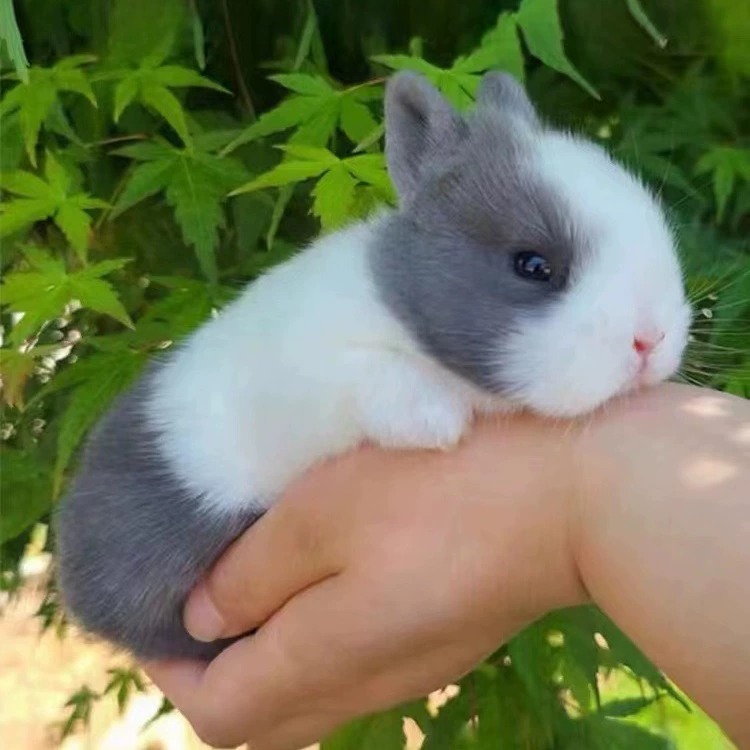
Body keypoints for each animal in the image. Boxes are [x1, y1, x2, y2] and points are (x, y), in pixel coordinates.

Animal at [55, 71, 692, 661]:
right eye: (533, 266)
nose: (651, 339)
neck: (398, 311)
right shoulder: (315, 373)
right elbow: (369, 377)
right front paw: (437, 424)